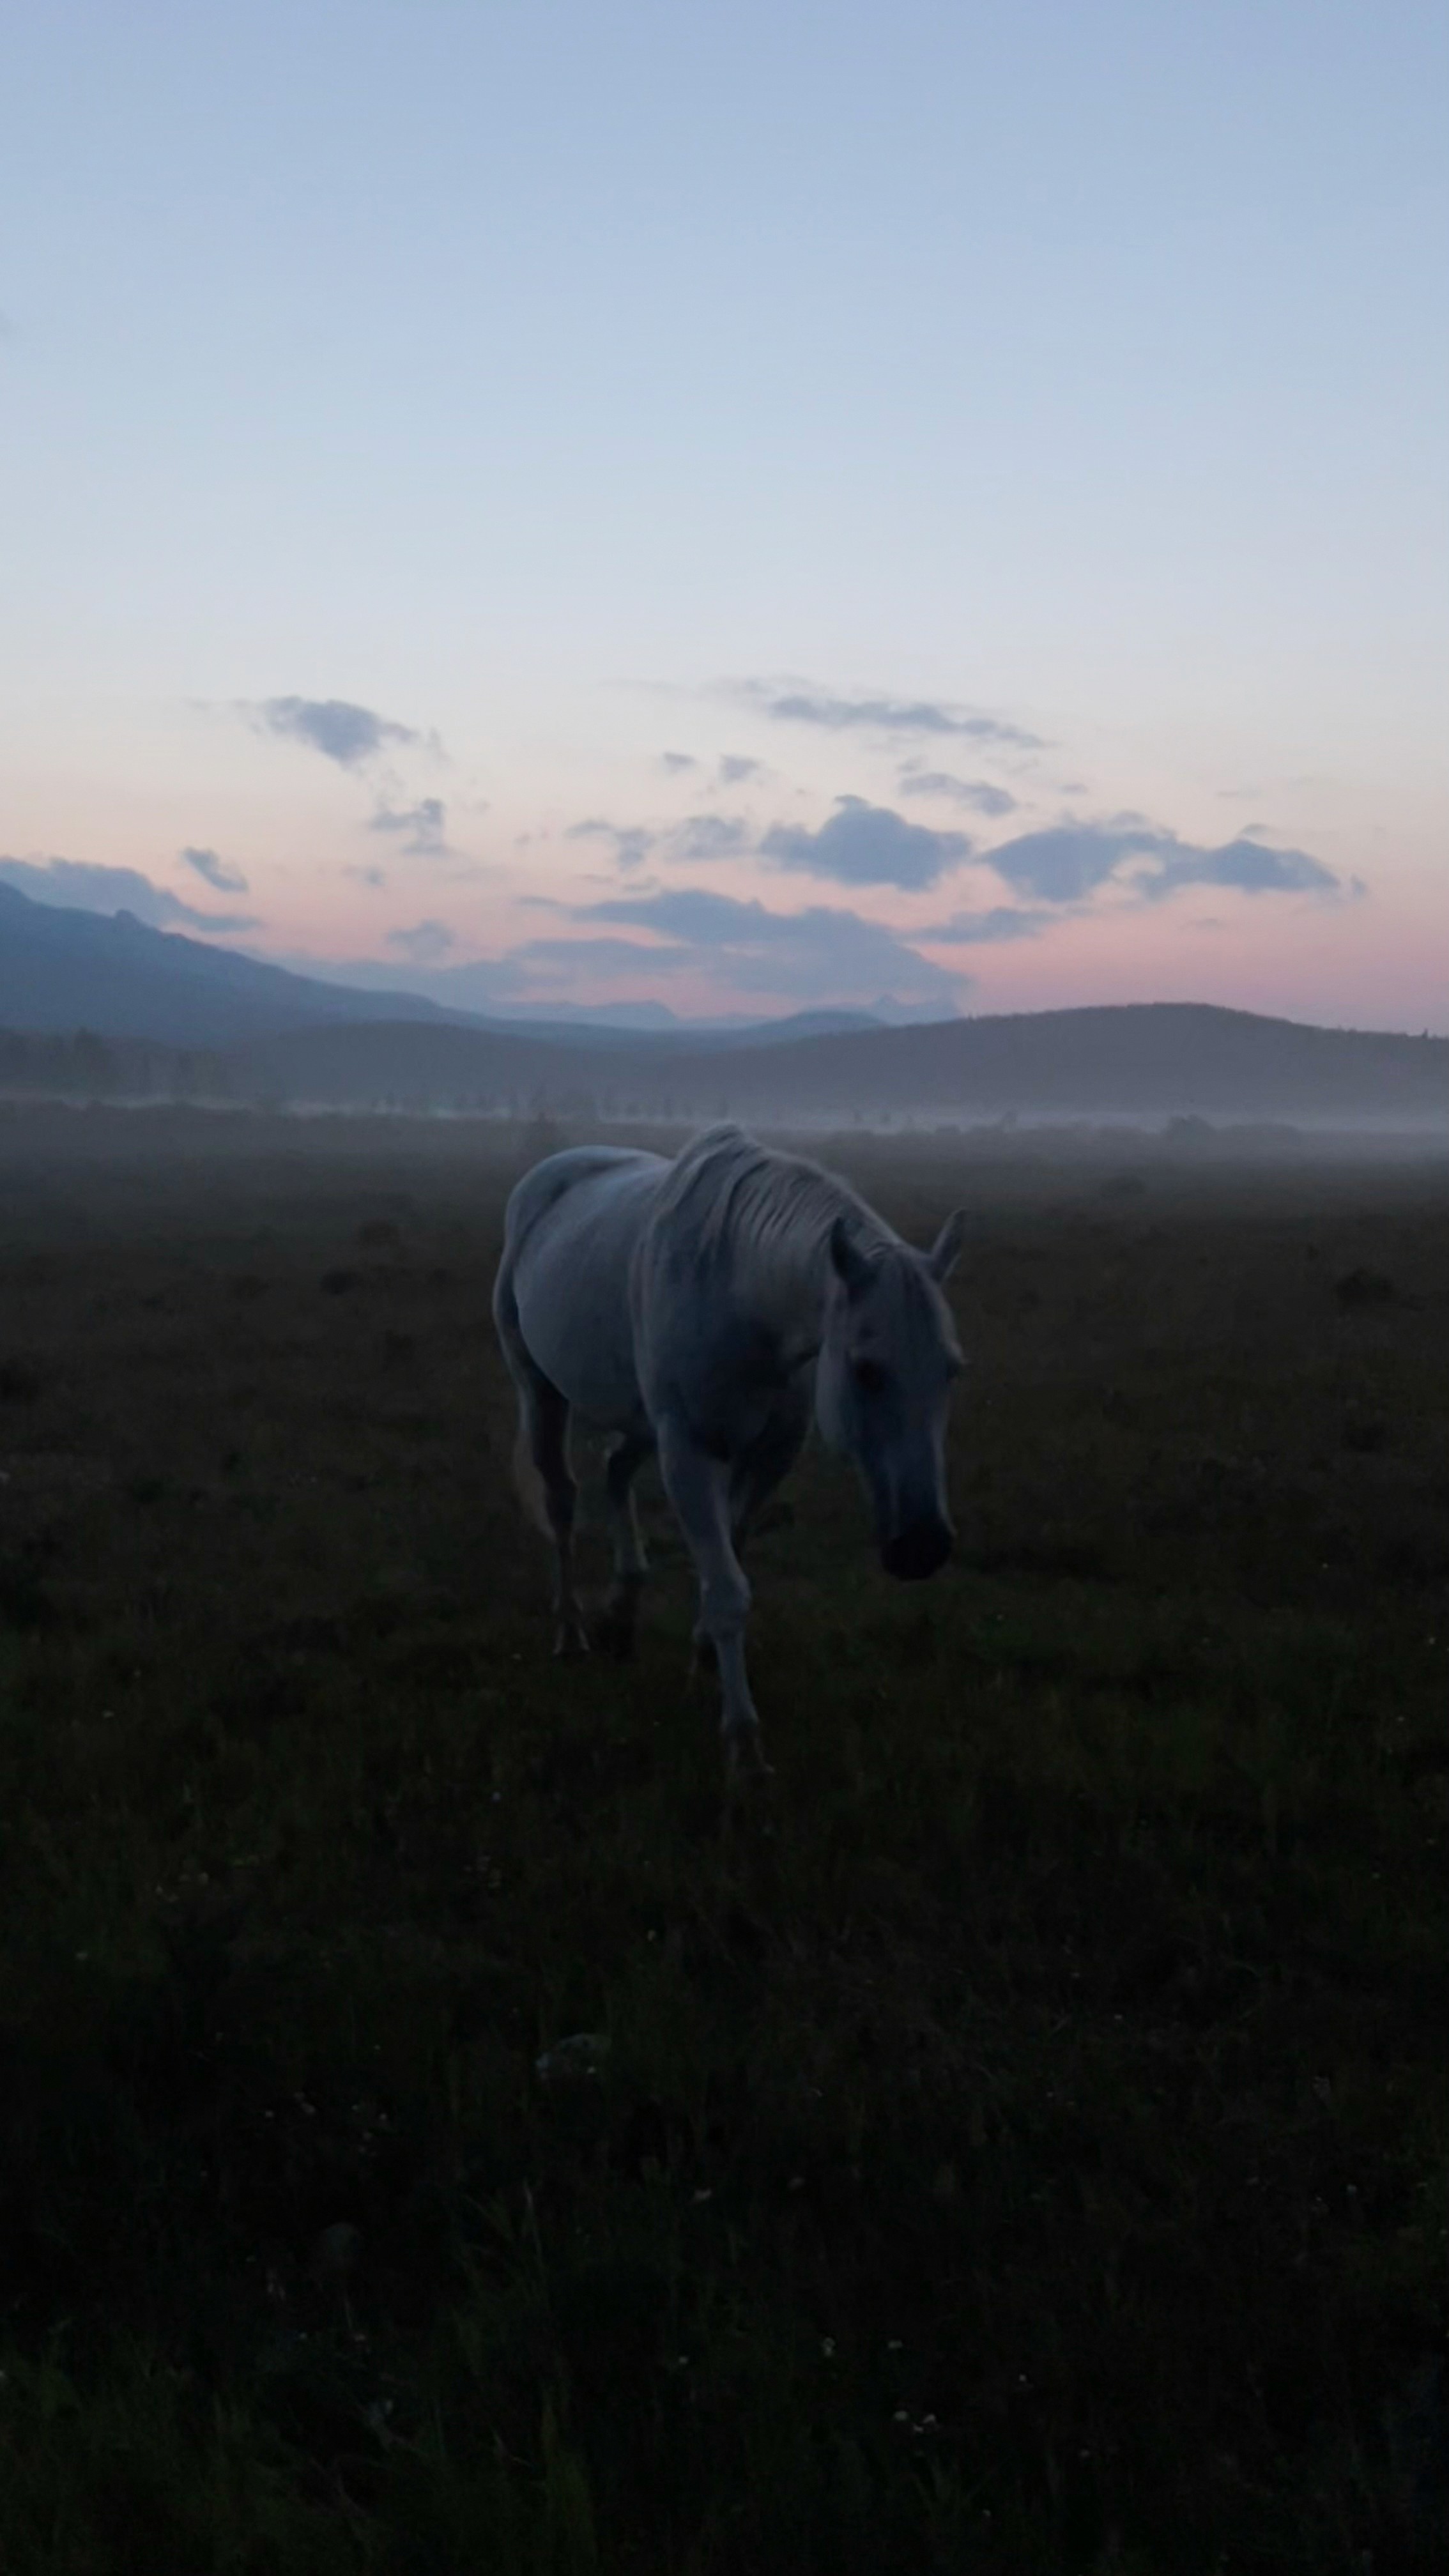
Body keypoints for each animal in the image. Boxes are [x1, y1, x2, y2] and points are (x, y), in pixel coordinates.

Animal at [492, 1124, 965, 1776]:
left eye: (952, 1371)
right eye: (866, 1370)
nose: (922, 1546)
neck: (741, 1292)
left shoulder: (769, 1455)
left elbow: (731, 1557)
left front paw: (704, 1661)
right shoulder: (689, 1452)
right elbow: (726, 1590)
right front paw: (743, 1744)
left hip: (641, 1421)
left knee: (616, 1473)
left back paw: (622, 1612)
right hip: (539, 1389)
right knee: (562, 1499)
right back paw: (572, 1632)